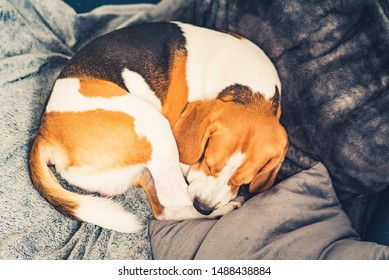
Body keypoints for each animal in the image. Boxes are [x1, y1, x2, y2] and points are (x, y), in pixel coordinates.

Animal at [28, 21, 286, 233]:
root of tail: (44, 133)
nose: (204, 207)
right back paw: (222, 210)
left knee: (163, 210)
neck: (254, 94)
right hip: (155, 125)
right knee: (174, 196)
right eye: (207, 161)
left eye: (242, 181)